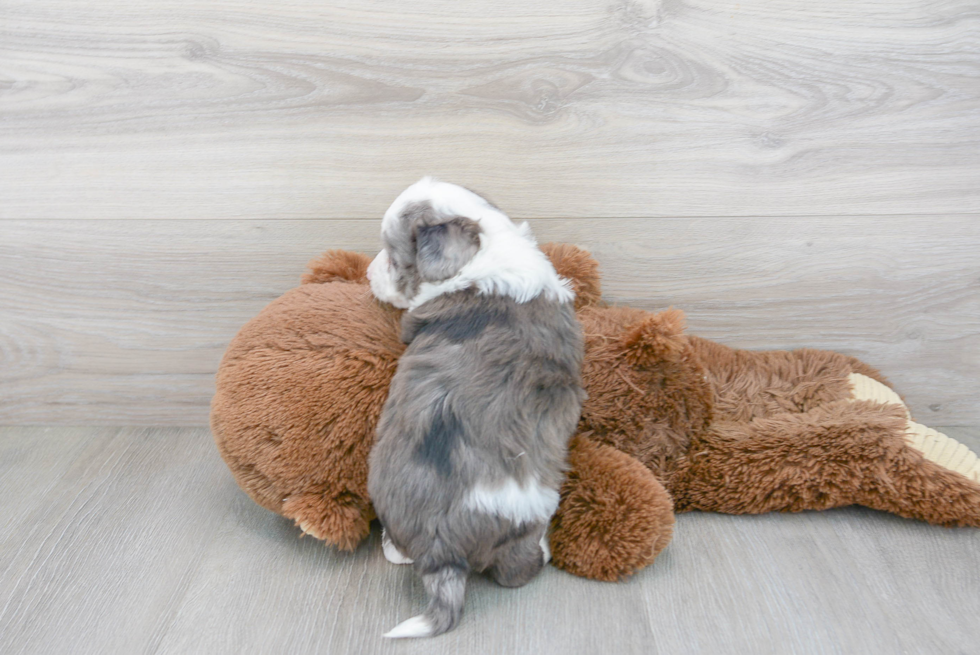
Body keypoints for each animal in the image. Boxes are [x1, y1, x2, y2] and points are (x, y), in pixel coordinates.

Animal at [366, 177, 580, 640]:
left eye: (392, 258)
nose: (366, 272)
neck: (484, 248)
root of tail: (441, 549)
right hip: (527, 517)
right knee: (516, 572)